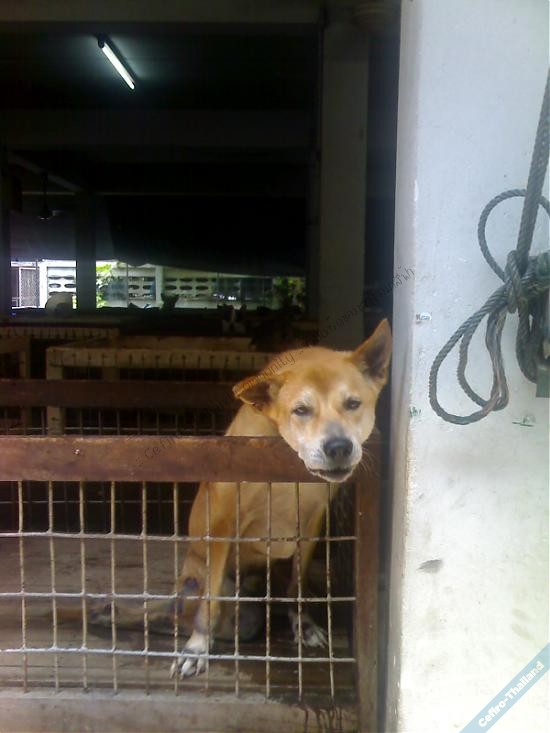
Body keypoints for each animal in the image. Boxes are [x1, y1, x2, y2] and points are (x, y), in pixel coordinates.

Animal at [169, 318, 392, 677]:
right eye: (301, 410)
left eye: (353, 404)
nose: (339, 447)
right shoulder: (223, 523)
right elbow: (211, 600)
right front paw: (197, 646)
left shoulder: (312, 523)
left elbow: (297, 588)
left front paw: (303, 625)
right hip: (196, 576)